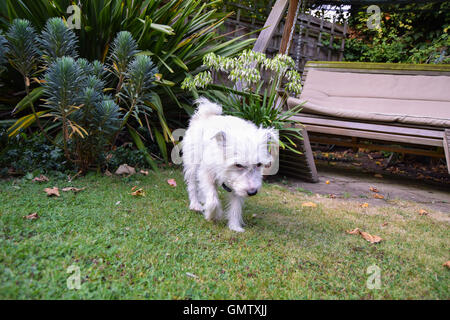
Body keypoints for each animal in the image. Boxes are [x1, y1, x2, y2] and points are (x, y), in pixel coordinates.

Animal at [181, 96, 276, 231]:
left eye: (258, 164)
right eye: (238, 165)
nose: (252, 192)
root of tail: (208, 115)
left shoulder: (238, 186)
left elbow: (236, 206)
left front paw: (234, 226)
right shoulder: (206, 173)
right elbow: (213, 200)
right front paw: (213, 215)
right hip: (192, 166)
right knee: (193, 185)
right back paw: (195, 204)